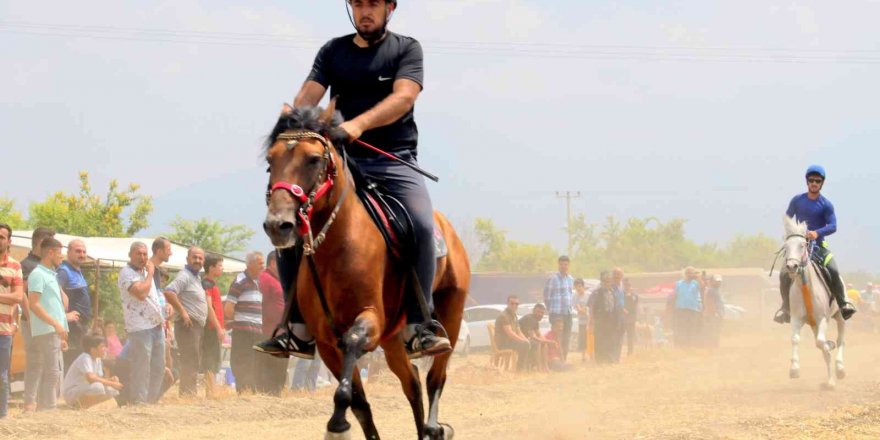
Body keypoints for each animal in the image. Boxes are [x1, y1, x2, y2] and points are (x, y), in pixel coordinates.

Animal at [262, 102, 470, 440]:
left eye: (313, 159)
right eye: (271, 162)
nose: (278, 224)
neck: (336, 247)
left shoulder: (369, 320)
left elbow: (353, 348)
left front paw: (337, 425)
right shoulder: (326, 341)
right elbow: (359, 404)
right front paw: (340, 422)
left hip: (450, 315)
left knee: (435, 379)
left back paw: (434, 427)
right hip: (393, 338)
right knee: (412, 382)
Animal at [784, 215, 844, 390]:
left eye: (802, 245)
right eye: (786, 246)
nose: (791, 266)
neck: (806, 286)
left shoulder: (822, 318)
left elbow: (821, 343)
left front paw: (829, 345)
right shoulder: (797, 318)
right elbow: (796, 339)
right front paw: (794, 370)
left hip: (840, 316)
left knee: (841, 340)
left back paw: (839, 370)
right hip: (813, 325)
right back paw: (830, 380)